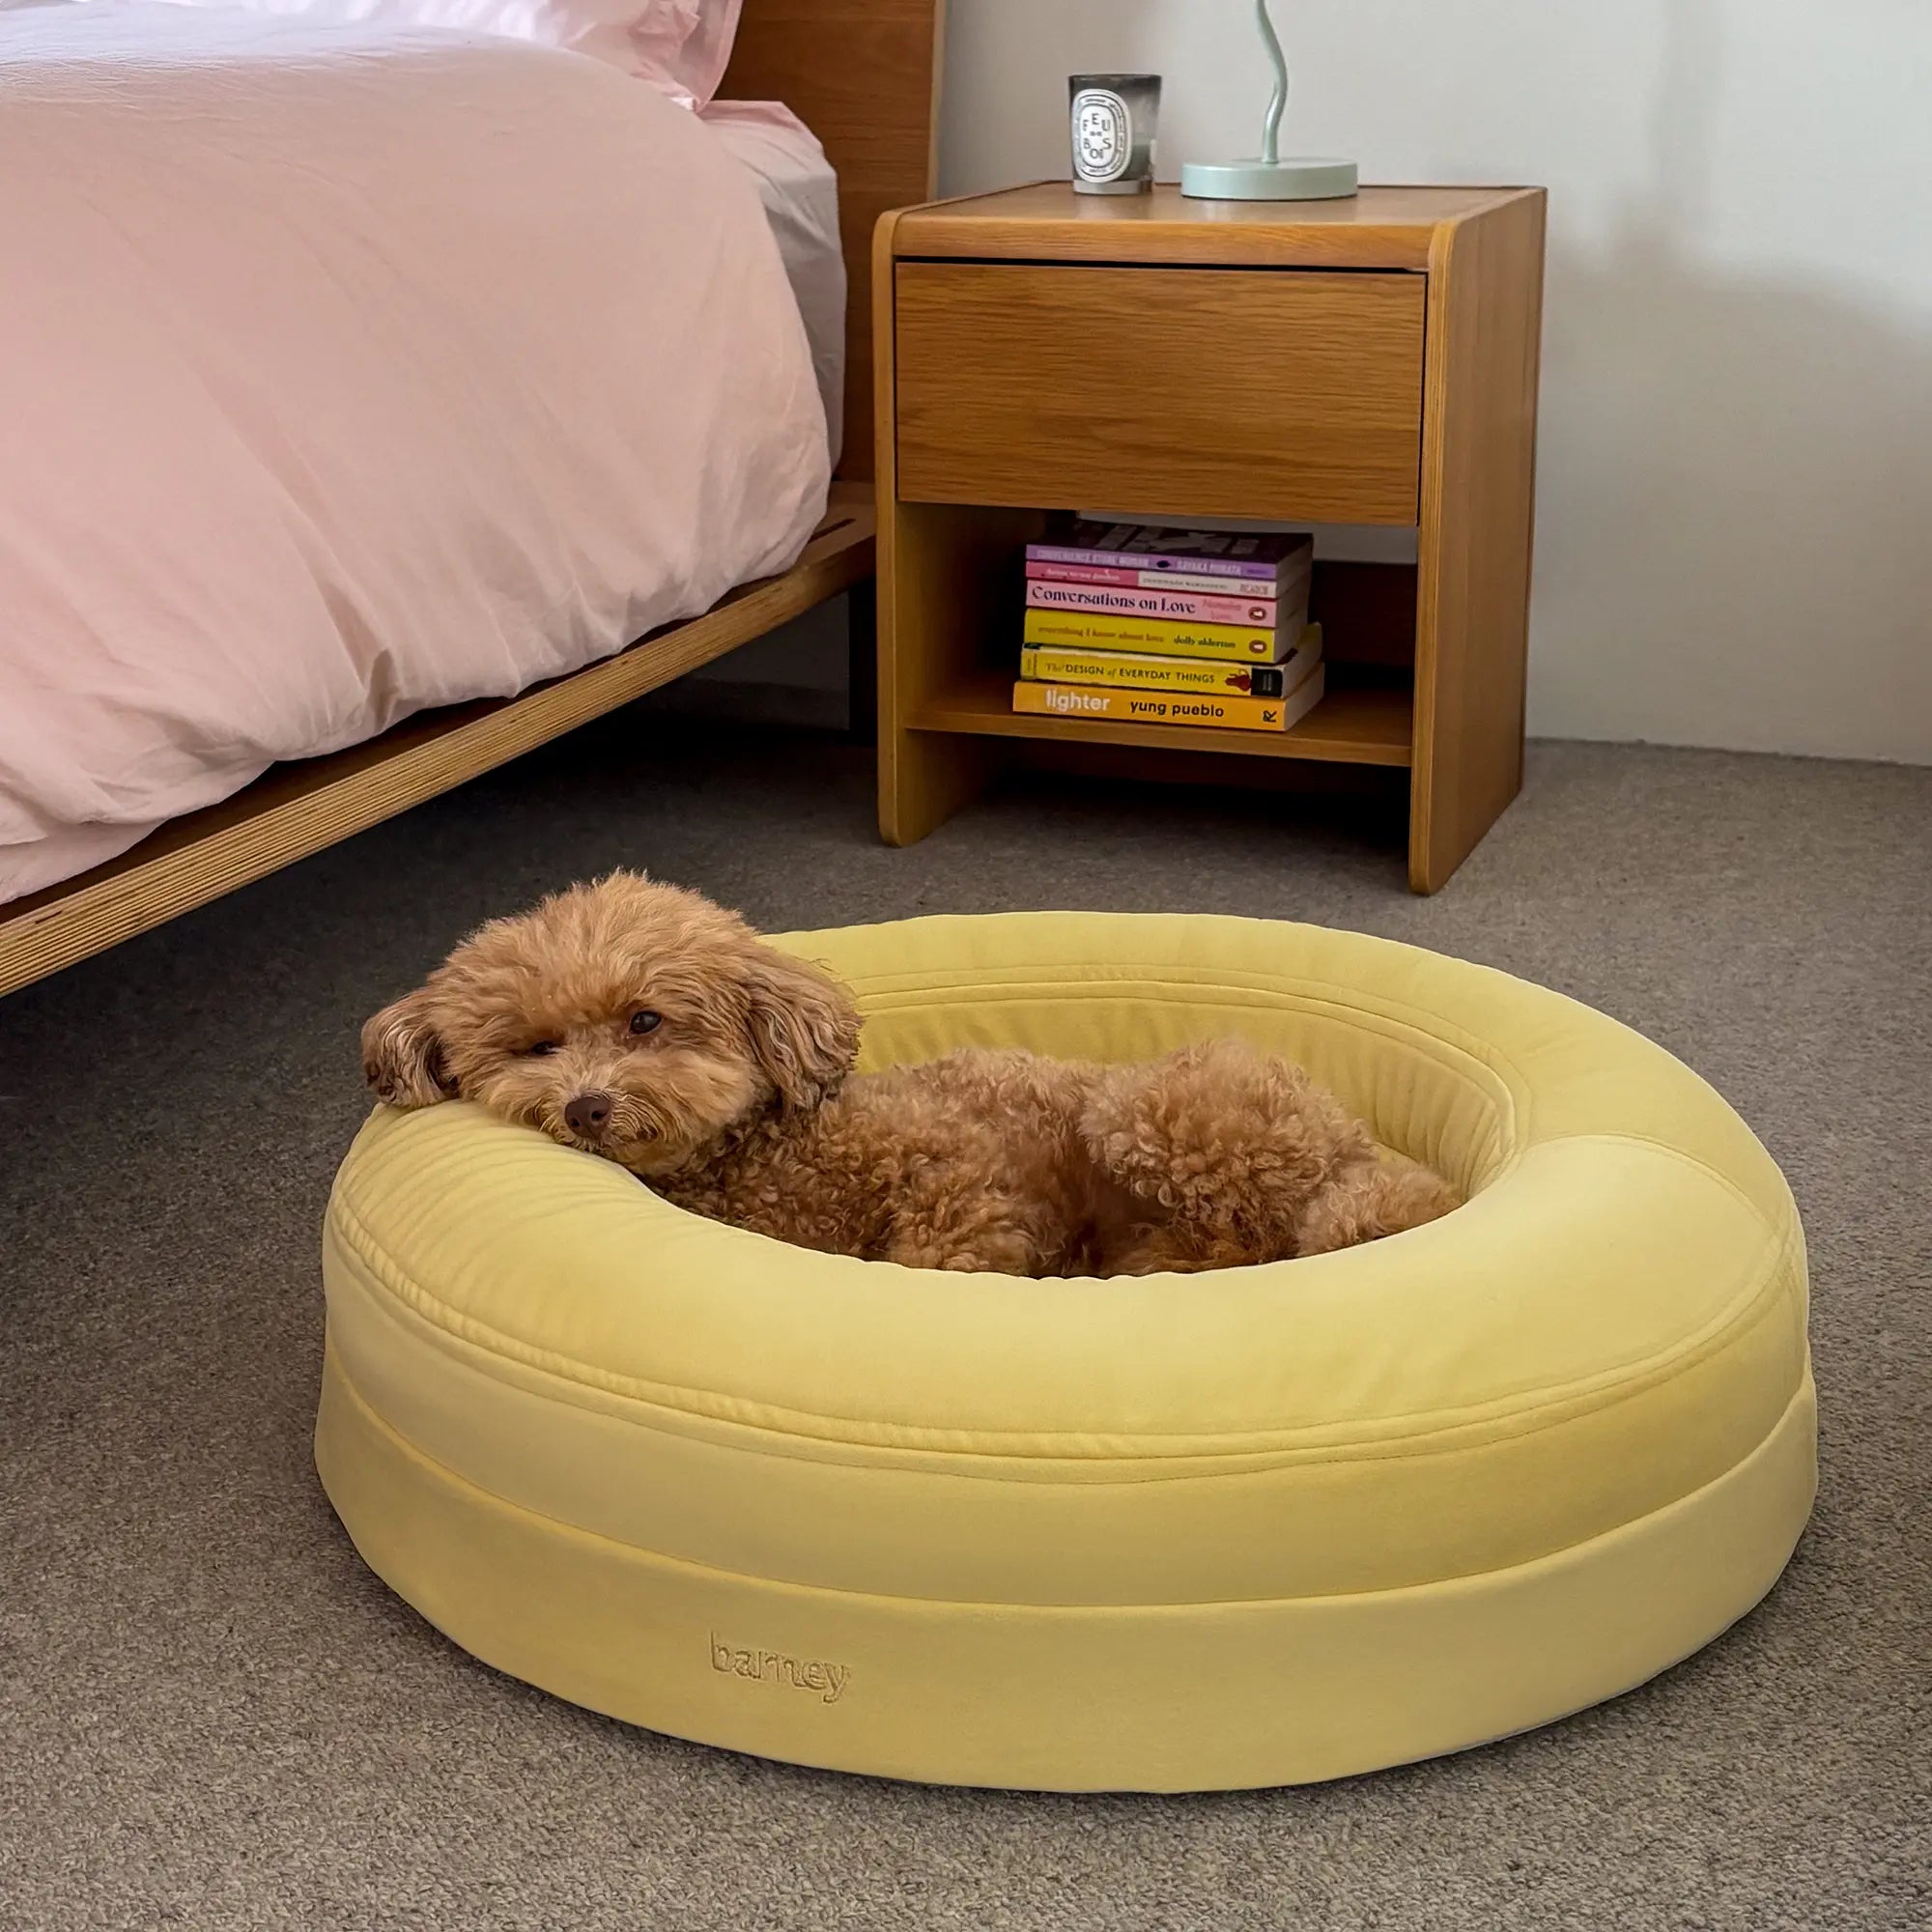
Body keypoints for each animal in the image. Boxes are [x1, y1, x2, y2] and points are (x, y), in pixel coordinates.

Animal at [360, 874, 1458, 1276]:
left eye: (644, 1020)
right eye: (535, 1046)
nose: (586, 1106)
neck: (763, 1150)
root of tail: (1359, 1144)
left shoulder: (961, 1173)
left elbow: (942, 1241)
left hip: (1144, 1111)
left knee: (1255, 1239)